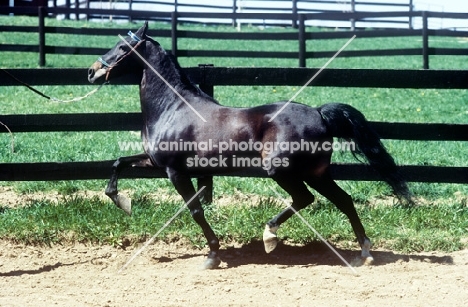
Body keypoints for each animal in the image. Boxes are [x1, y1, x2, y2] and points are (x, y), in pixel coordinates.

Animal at [88, 22, 410, 270]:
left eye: (122, 48)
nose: (91, 72)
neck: (173, 108)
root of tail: (319, 114)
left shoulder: (175, 171)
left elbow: (196, 210)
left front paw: (213, 255)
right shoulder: (155, 163)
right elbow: (118, 163)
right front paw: (122, 202)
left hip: (282, 171)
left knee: (305, 199)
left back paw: (270, 236)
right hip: (317, 173)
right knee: (343, 200)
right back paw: (363, 253)